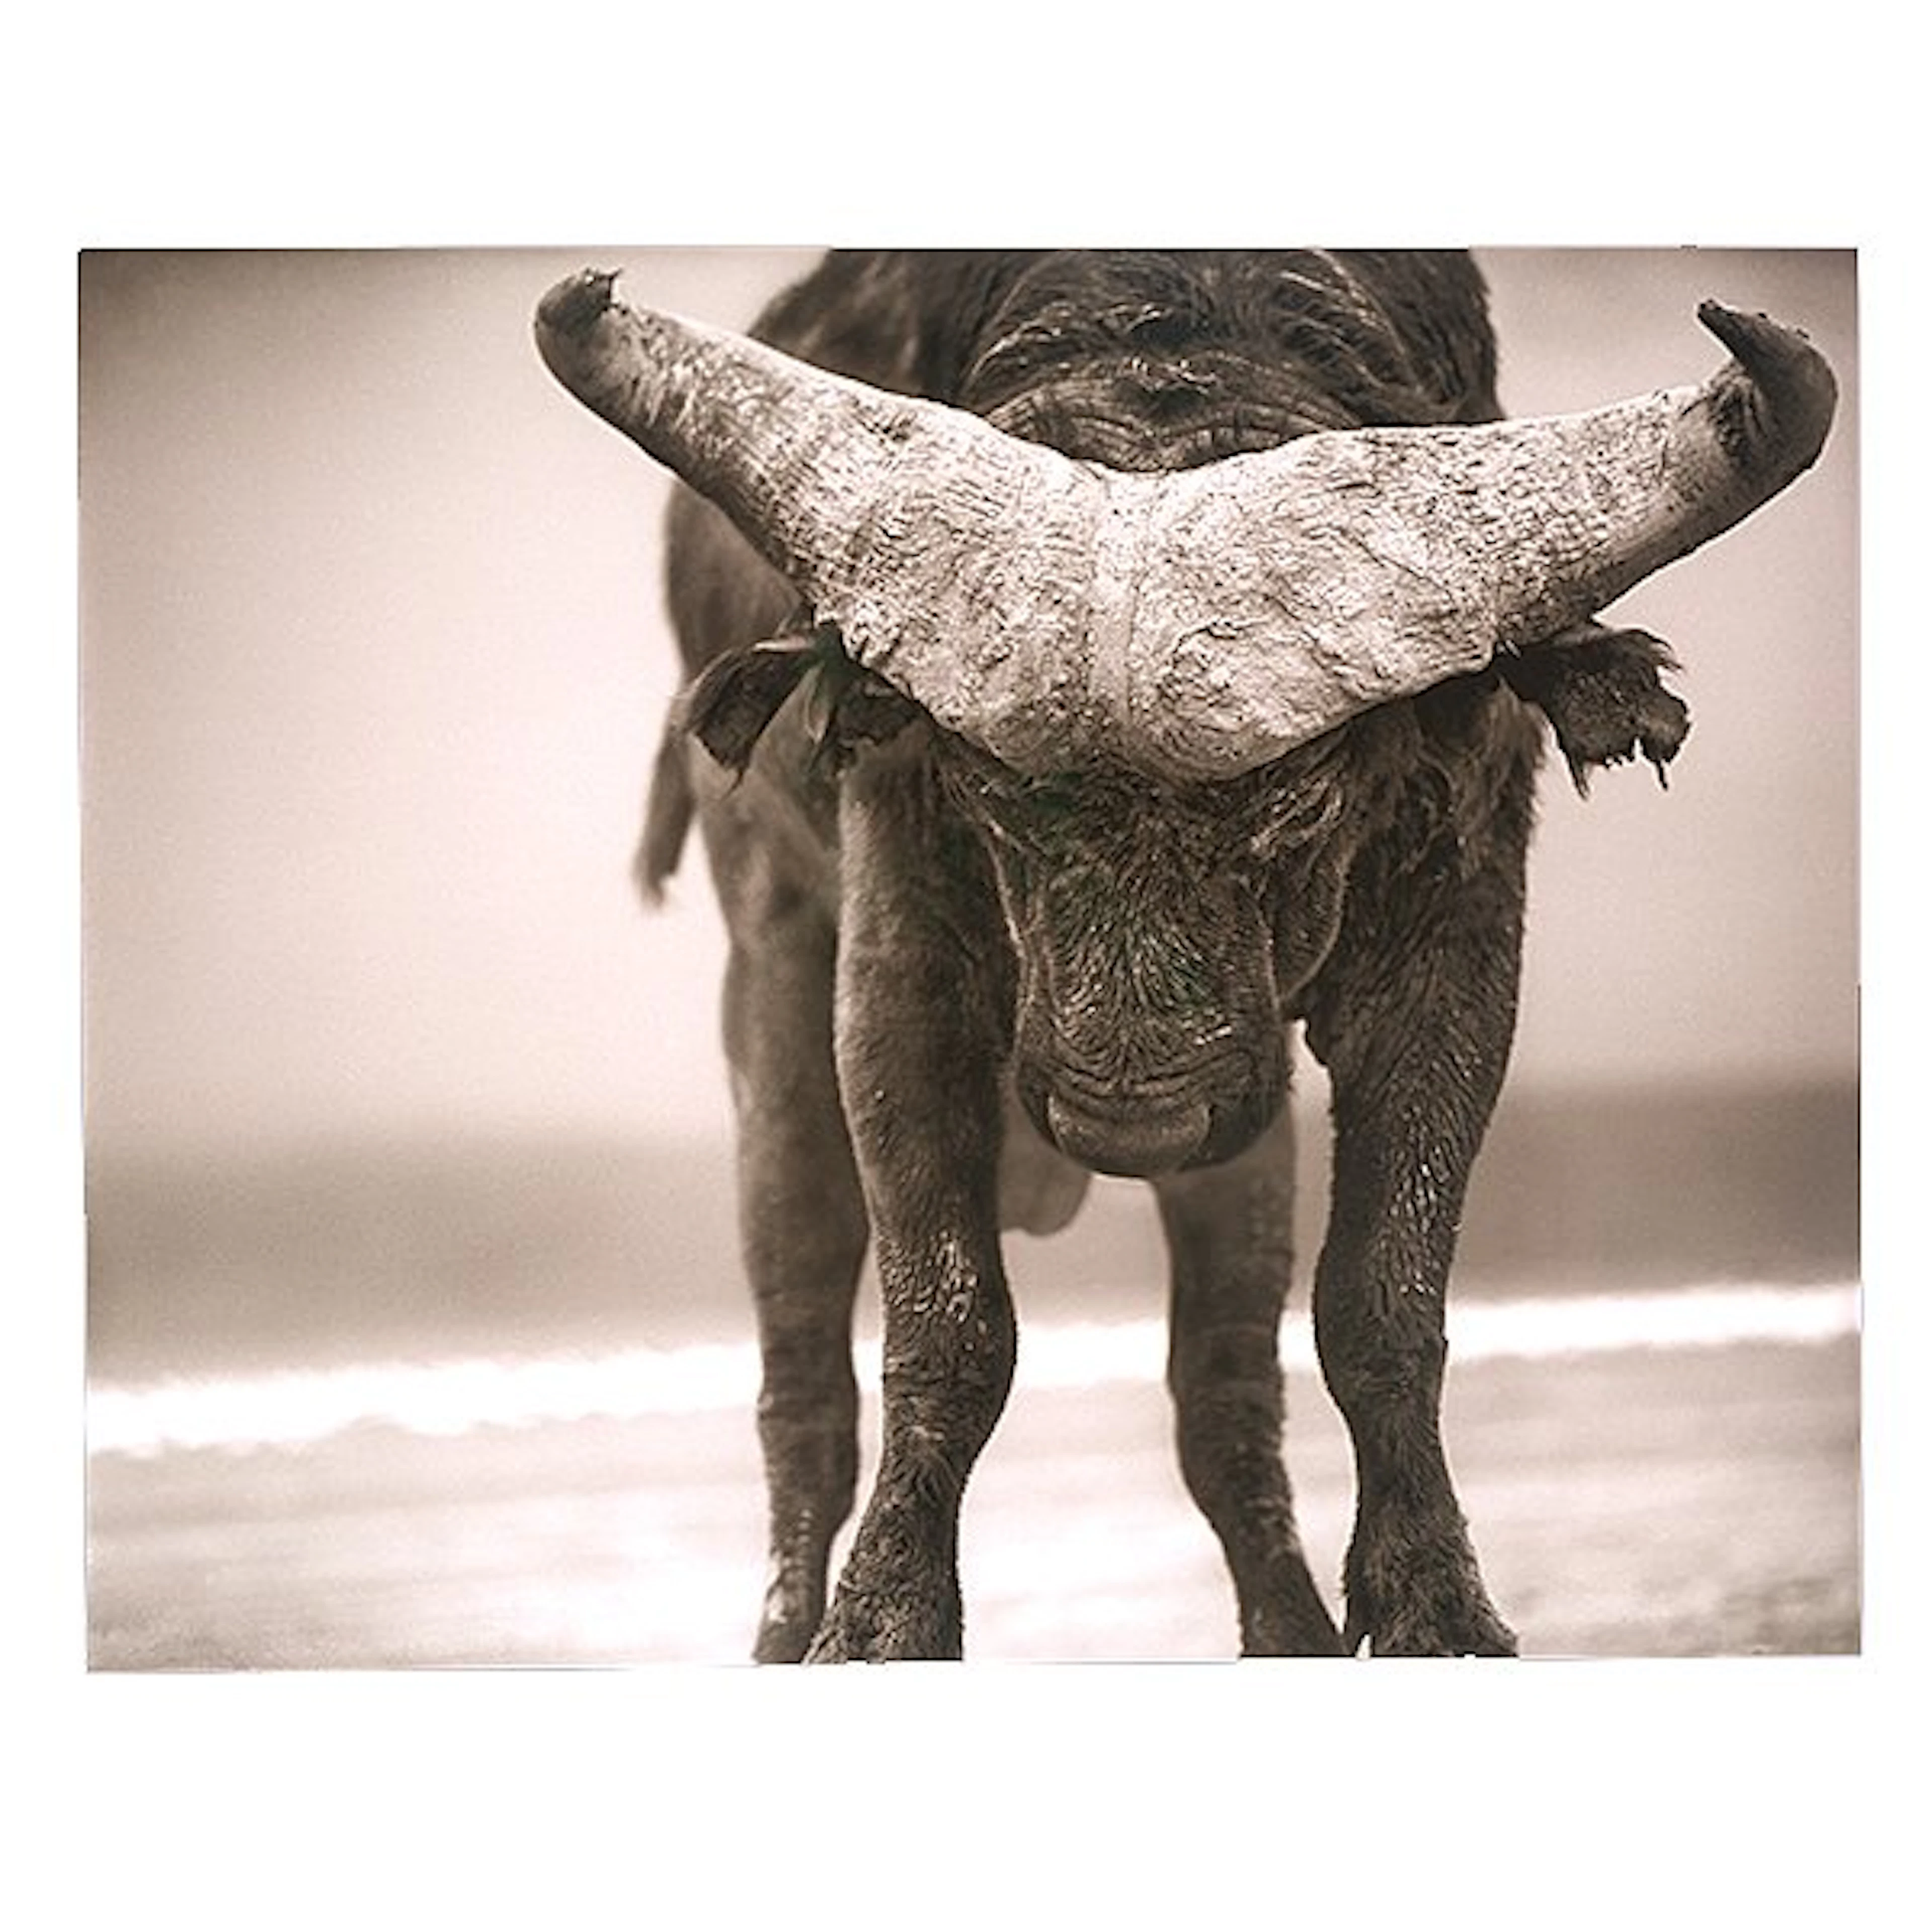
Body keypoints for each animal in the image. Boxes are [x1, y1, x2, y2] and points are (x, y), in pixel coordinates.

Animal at [535, 250, 1835, 1659]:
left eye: (1301, 799)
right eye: (992, 799)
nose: (1134, 1123)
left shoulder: (1454, 941)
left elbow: (1381, 1298)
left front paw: (1434, 1605)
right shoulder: (894, 970)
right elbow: (946, 1322)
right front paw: (881, 1622)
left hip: (1238, 1127)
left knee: (1224, 1388)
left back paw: (1290, 1625)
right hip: (772, 994)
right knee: (803, 1369)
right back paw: (787, 1624)